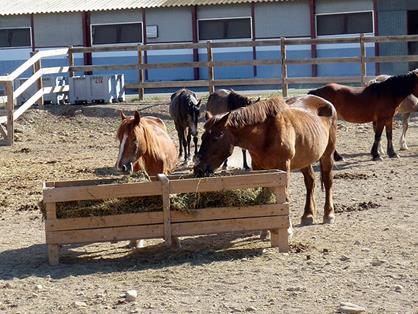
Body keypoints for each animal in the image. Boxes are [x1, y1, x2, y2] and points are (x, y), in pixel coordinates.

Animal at [116, 111, 180, 250]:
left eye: (134, 138)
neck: (150, 156)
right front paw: (136, 240)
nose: (121, 167)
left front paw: (174, 239)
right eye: (119, 138)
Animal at [195, 94, 336, 226]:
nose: (198, 168)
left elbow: (284, 193)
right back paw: (308, 215)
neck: (266, 133)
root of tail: (325, 102)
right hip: (305, 159)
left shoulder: (283, 167)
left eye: (215, 138)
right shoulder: (258, 167)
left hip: (327, 154)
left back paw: (328, 214)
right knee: (310, 182)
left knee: (327, 181)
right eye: (202, 137)